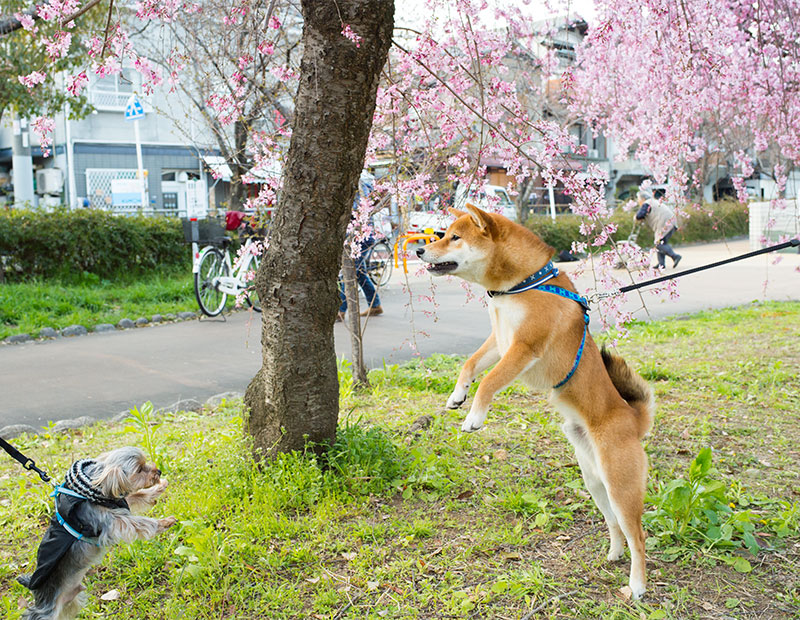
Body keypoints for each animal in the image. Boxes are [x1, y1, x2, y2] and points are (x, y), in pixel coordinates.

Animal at [416, 206, 652, 600]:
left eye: (454, 237)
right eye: (442, 234)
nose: (419, 250)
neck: (521, 284)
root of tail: (632, 418)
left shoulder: (523, 347)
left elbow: (489, 381)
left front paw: (475, 415)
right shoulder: (499, 341)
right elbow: (470, 365)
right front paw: (457, 395)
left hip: (620, 485)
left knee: (639, 535)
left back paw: (636, 586)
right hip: (595, 482)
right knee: (615, 524)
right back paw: (614, 554)